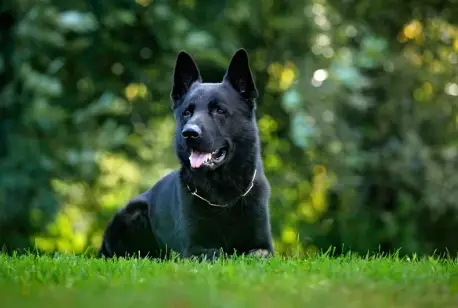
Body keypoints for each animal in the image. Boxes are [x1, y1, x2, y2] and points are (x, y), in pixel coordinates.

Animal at [97, 48, 274, 260]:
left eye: (219, 110)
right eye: (187, 112)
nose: (189, 133)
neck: (222, 197)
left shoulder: (264, 248)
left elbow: (252, 253)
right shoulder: (193, 250)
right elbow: (220, 253)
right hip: (134, 214)